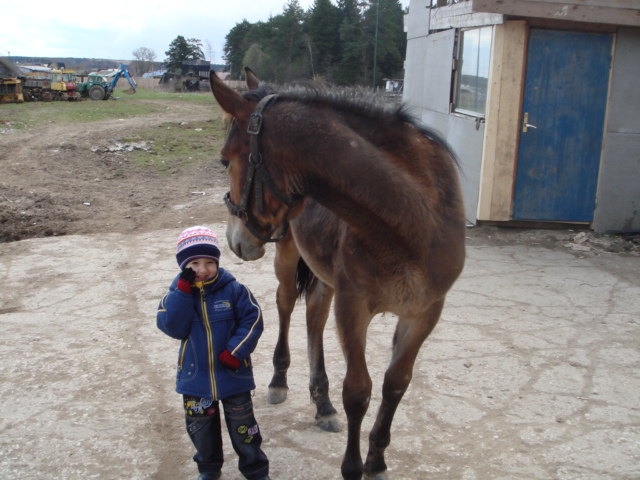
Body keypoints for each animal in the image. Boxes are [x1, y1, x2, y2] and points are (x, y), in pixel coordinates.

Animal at [210, 68, 464, 480]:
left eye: (224, 160)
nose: (236, 240)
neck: (411, 224)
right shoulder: (353, 307)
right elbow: (358, 391)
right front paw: (353, 466)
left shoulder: (424, 312)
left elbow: (396, 383)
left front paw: (376, 459)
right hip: (288, 257)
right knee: (286, 306)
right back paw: (280, 381)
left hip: (325, 276)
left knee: (314, 317)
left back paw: (322, 403)